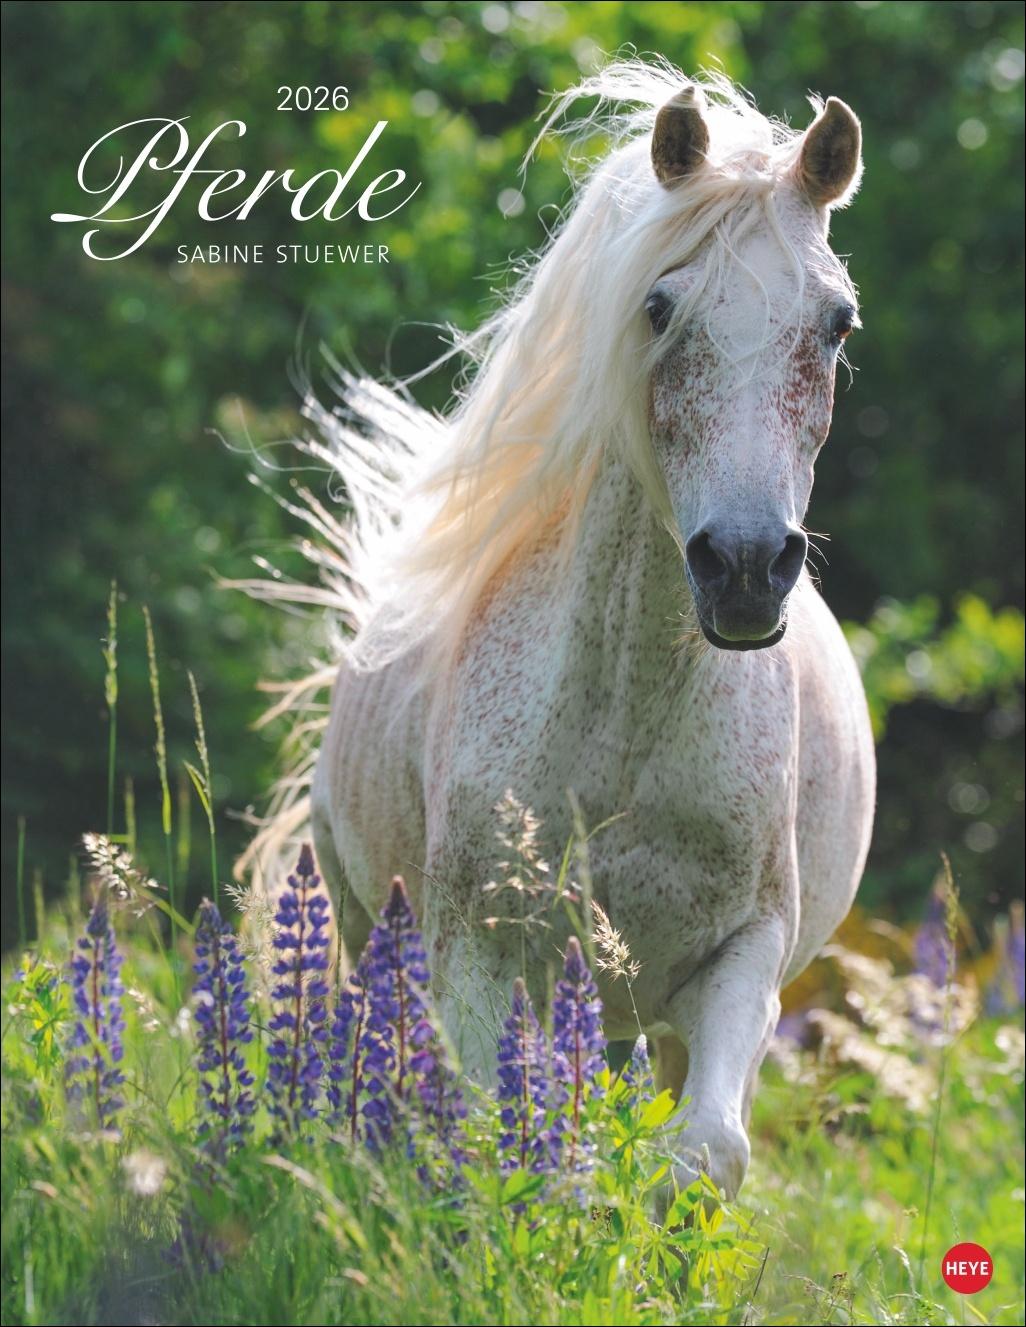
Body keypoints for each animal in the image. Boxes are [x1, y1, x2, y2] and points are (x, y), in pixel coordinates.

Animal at [259, 62, 876, 1200]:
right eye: (660, 305)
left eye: (837, 323)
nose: (743, 569)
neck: (624, 727)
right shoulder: (476, 952)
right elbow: (491, 1140)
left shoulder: (744, 956)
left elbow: (704, 1152)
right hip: (370, 929)